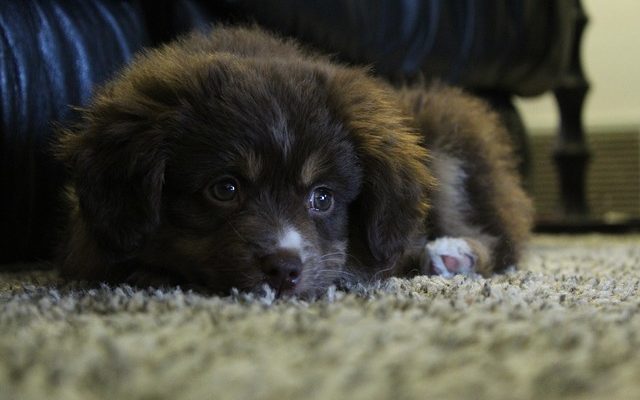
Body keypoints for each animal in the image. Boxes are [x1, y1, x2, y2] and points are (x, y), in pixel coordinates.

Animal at [57, 25, 532, 296]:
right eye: (225, 189)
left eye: (322, 198)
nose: (284, 270)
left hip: (450, 135)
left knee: (496, 237)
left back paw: (451, 254)